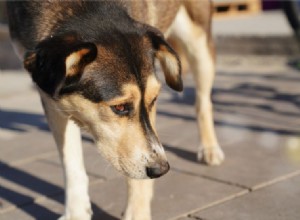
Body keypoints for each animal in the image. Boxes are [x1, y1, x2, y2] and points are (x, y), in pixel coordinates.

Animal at [6, 0, 223, 220]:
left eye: (153, 99)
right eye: (119, 107)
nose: (161, 169)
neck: (83, 7)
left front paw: (137, 213)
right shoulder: (51, 98)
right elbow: (71, 164)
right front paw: (76, 213)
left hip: (199, 40)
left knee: (203, 101)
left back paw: (209, 148)